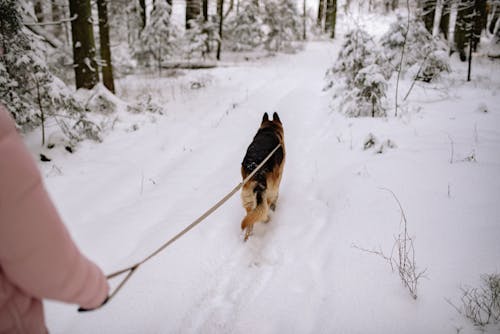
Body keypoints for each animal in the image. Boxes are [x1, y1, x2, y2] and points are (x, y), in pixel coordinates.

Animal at [241, 112, 286, 240]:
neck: (269, 129)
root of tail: (256, 171)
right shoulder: (278, 177)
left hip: (247, 198)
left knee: (250, 220)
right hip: (269, 189)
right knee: (266, 207)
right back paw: (269, 216)